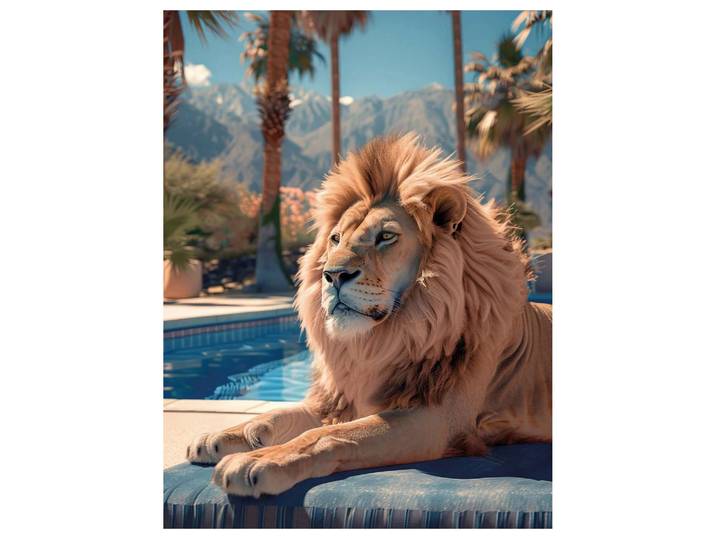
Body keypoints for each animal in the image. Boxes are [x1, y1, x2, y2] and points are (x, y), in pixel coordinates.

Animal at [187, 133, 552, 497]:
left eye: (386, 237)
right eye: (335, 239)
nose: (333, 275)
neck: (383, 342)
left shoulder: (438, 419)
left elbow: (325, 435)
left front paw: (258, 460)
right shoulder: (341, 399)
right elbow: (281, 415)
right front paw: (223, 437)